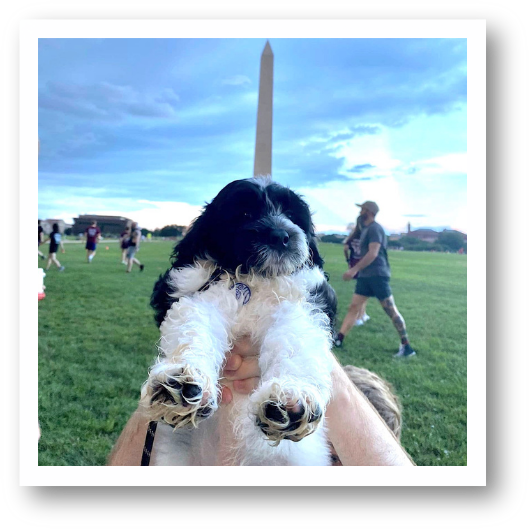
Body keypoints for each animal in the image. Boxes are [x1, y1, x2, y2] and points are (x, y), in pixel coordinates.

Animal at [139, 175, 338, 465]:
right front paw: (182, 381)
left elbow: (295, 340)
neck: (251, 278)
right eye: (244, 214)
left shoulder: (302, 305)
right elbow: (194, 326)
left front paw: (291, 398)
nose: (280, 235)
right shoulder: (200, 296)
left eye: (292, 216)